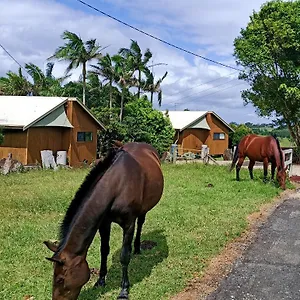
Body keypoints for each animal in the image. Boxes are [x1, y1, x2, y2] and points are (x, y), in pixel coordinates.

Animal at [44, 142, 164, 298]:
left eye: (60, 279)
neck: (117, 184)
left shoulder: (128, 224)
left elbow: (124, 255)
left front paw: (124, 290)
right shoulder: (104, 223)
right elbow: (104, 250)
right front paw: (100, 281)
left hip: (143, 210)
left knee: (140, 223)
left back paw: (137, 247)